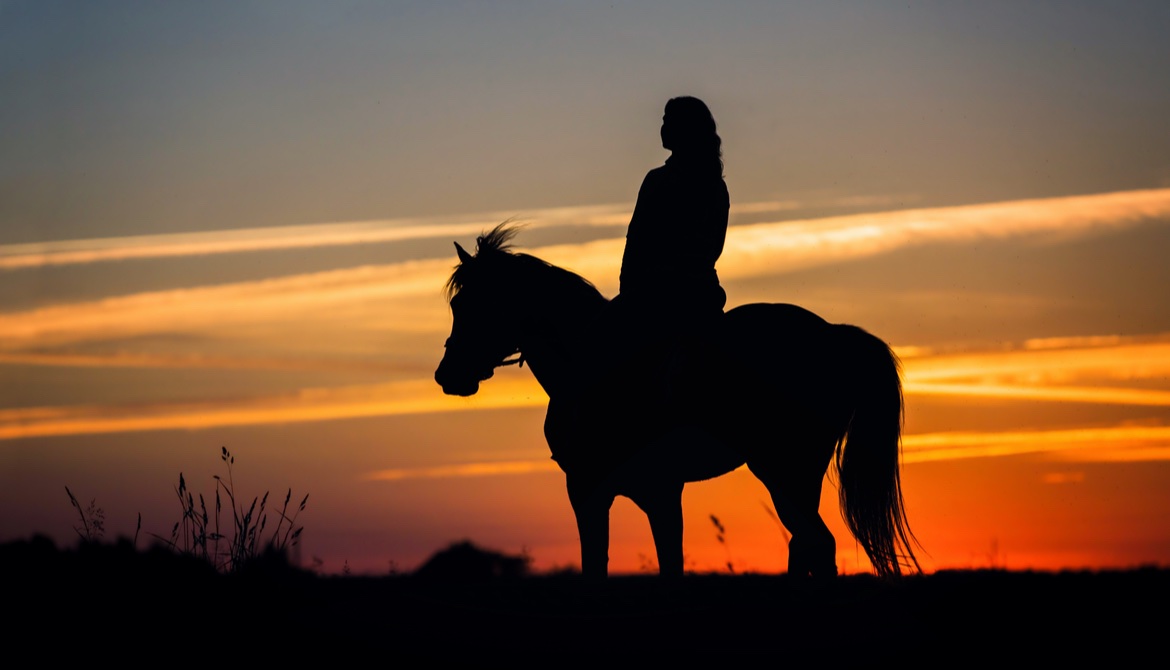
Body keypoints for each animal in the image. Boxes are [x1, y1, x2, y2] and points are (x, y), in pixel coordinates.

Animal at [435, 223, 917, 575]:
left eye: (474, 306)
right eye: (457, 306)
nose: (447, 375)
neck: (585, 361)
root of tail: (834, 335)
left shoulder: (591, 489)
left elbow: (603, 565)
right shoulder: (659, 491)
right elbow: (668, 563)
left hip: (784, 469)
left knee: (816, 542)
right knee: (807, 544)